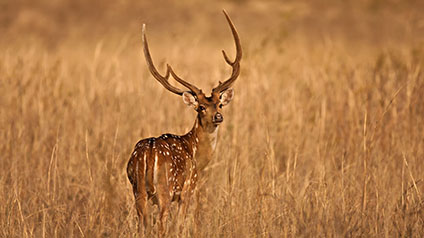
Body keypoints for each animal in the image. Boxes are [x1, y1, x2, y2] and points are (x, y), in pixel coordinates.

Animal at [126, 9, 240, 236]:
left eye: (219, 104)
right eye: (201, 107)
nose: (218, 116)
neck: (197, 155)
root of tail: (148, 154)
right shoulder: (188, 187)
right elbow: (180, 223)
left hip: (138, 190)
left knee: (143, 224)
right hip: (165, 188)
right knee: (161, 223)